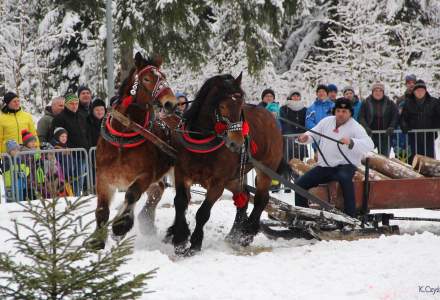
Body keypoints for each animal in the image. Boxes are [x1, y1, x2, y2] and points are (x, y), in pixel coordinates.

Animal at [90, 52, 178, 248]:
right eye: (146, 79)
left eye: (164, 76)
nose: (171, 103)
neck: (123, 137)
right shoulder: (103, 179)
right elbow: (102, 210)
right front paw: (97, 241)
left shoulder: (145, 175)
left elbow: (131, 195)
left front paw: (120, 225)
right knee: (157, 190)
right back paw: (148, 221)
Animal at [165, 74, 286, 254]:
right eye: (222, 106)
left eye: (241, 104)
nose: (236, 143)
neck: (201, 138)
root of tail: (271, 118)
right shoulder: (181, 173)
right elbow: (179, 202)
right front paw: (179, 239)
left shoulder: (218, 183)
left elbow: (203, 213)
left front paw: (195, 244)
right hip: (234, 177)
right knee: (244, 197)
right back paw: (234, 234)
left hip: (265, 169)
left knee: (261, 199)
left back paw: (246, 234)